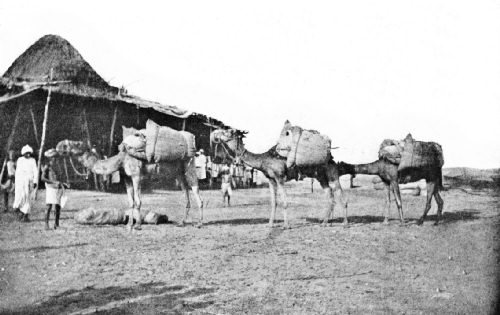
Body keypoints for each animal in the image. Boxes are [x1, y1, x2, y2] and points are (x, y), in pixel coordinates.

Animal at [55, 128, 203, 230]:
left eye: (76, 144)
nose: (59, 145)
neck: (121, 159)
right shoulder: (126, 178)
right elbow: (131, 202)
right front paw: (129, 224)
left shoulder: (136, 175)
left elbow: (138, 201)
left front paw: (137, 225)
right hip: (178, 172)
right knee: (185, 192)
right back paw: (182, 222)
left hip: (189, 164)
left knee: (196, 190)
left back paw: (199, 223)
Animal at [209, 128, 346, 230]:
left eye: (228, 131)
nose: (214, 134)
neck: (263, 160)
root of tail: (331, 157)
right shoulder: (271, 179)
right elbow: (274, 202)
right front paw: (270, 224)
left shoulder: (280, 177)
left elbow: (284, 202)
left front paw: (286, 225)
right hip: (321, 177)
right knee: (330, 196)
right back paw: (325, 223)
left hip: (331, 173)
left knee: (339, 193)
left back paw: (345, 223)